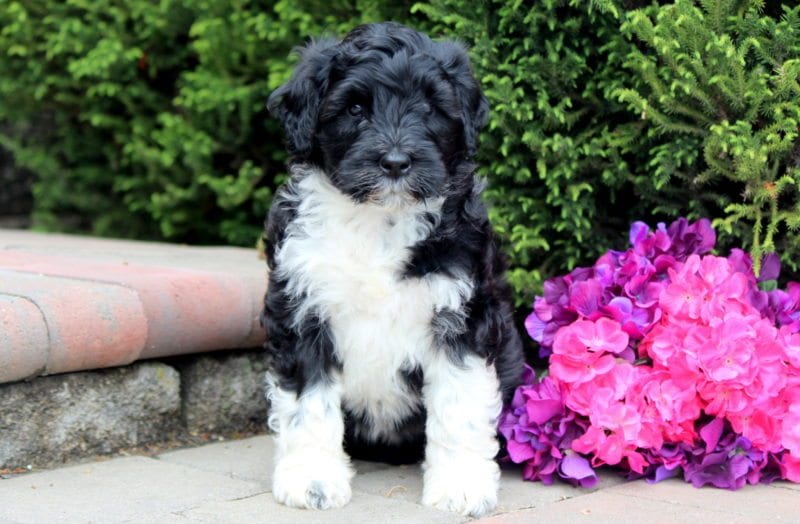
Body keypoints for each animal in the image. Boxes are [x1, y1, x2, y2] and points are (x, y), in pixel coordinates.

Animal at [262, 22, 524, 516]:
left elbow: (459, 405)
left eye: (429, 108)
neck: (379, 219)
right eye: (355, 108)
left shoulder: (462, 315)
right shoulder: (302, 309)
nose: (396, 163)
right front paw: (313, 481)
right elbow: (309, 403)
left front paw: (460, 486)